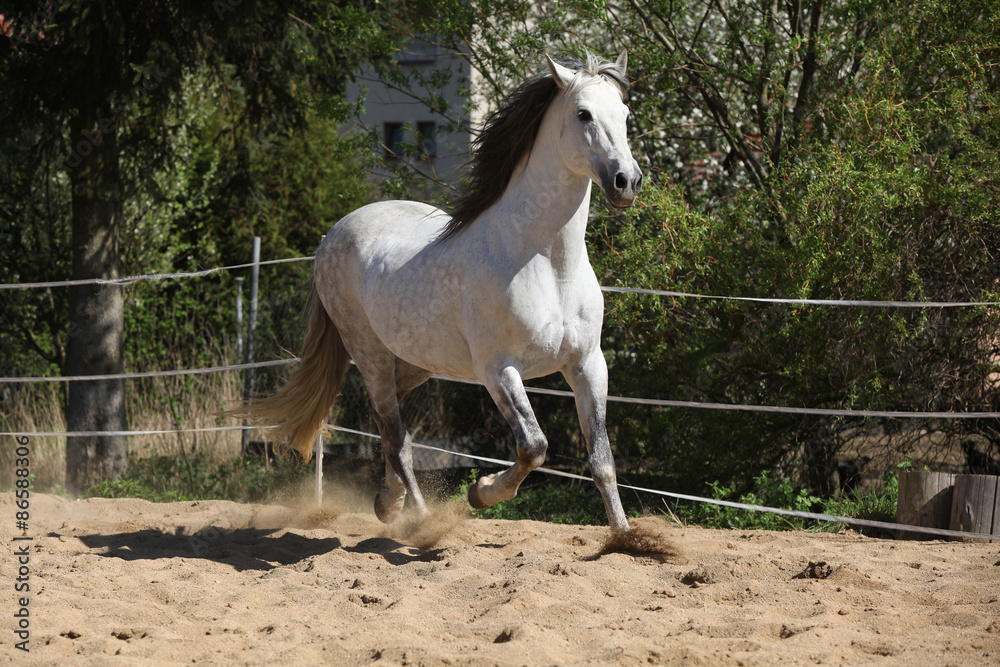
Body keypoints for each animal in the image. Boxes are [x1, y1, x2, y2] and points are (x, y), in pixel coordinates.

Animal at [247, 50, 643, 535]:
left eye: (625, 114)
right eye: (583, 114)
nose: (627, 182)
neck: (547, 265)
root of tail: (330, 236)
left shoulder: (588, 364)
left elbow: (601, 458)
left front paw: (625, 537)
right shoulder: (498, 370)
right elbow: (534, 446)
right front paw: (481, 492)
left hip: (416, 362)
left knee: (388, 423)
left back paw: (388, 501)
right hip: (369, 353)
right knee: (396, 435)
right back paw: (418, 520)